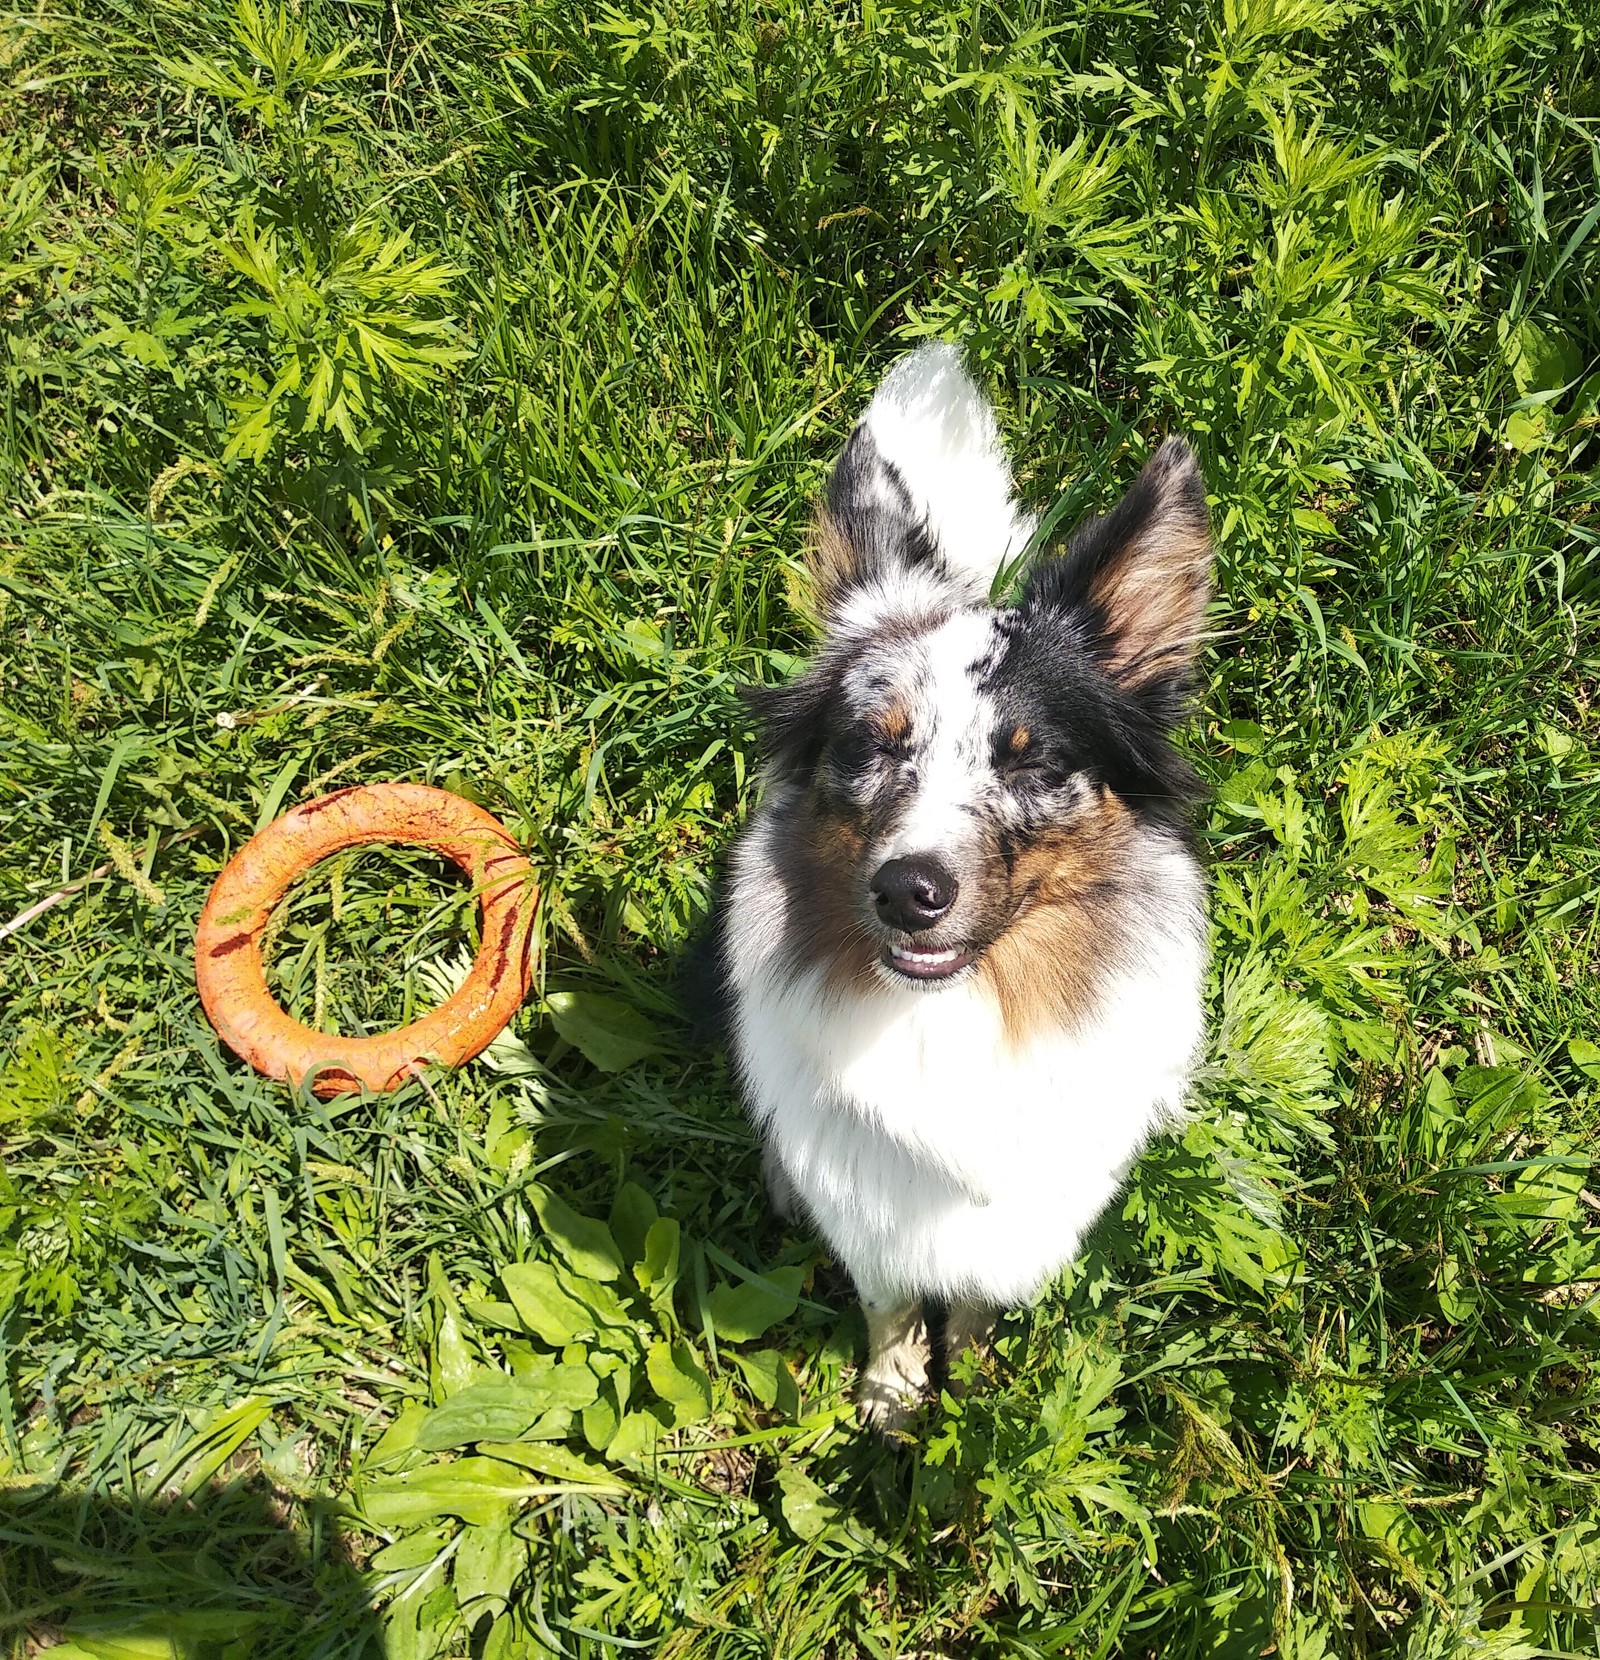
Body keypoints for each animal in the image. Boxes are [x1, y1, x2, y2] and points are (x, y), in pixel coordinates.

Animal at [703, 340, 1214, 1427]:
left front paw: (974, 1388)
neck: (958, 1012)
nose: (908, 890)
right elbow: (890, 1301)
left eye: (1030, 759)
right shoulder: (871, 1208)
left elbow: (973, 1301)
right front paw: (895, 1398)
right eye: (868, 744)